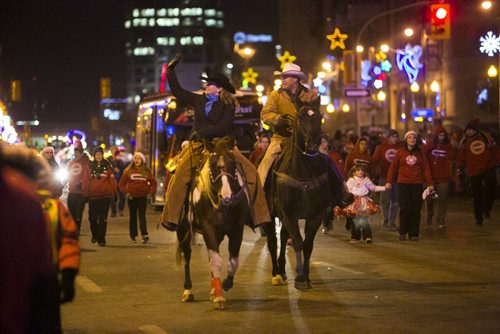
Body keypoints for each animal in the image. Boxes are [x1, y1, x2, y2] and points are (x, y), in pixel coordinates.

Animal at [176, 137, 250, 310]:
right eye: (213, 165)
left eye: (233, 164)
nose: (226, 196)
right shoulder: (208, 229)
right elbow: (216, 261)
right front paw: (219, 298)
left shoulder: (236, 230)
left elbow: (233, 261)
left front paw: (226, 284)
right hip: (183, 230)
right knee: (187, 255)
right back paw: (188, 291)